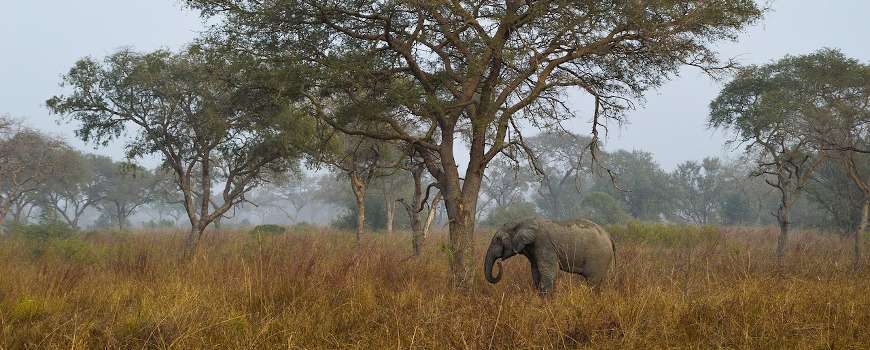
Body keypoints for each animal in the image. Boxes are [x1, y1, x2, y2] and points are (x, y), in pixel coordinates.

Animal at [488, 217, 616, 294]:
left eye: (497, 239)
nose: (499, 262)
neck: (522, 221)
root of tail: (609, 236)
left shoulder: (544, 245)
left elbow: (548, 272)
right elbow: (536, 272)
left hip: (599, 257)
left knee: (592, 282)